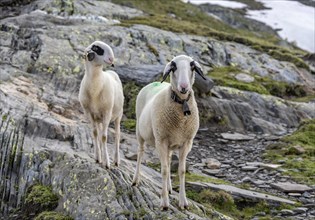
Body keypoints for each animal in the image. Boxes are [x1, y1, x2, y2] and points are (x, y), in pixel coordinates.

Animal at [78, 40, 124, 168]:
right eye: (97, 48)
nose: (111, 59)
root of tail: (110, 72)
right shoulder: (89, 113)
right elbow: (95, 134)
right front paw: (98, 158)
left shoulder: (107, 113)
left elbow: (104, 137)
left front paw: (107, 163)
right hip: (98, 118)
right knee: (98, 133)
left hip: (118, 115)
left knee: (117, 135)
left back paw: (116, 160)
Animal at [132, 54, 206, 210]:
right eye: (174, 67)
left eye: (192, 66)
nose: (184, 87)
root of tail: (154, 83)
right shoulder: (161, 141)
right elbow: (165, 170)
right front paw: (164, 202)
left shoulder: (186, 143)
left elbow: (181, 171)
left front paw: (183, 201)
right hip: (140, 133)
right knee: (140, 153)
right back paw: (136, 180)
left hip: (170, 144)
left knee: (169, 158)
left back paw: (169, 188)